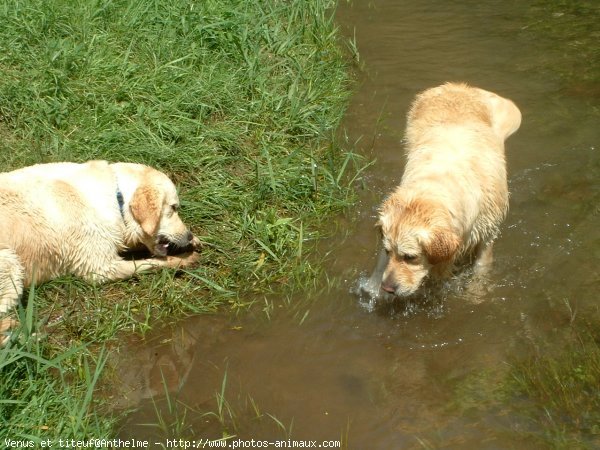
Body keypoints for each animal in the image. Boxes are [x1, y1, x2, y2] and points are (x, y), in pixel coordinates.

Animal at [0, 162, 202, 342]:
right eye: (173, 208)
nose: (189, 235)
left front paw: (194, 242)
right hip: (10, 262)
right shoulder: (99, 268)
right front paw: (183, 259)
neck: (116, 197)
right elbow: (150, 263)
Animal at [366, 81, 520, 298]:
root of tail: (459, 86)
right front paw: (372, 287)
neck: (436, 182)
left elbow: (481, 266)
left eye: (410, 257)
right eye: (389, 251)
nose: (388, 288)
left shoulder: (488, 231)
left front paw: (476, 292)